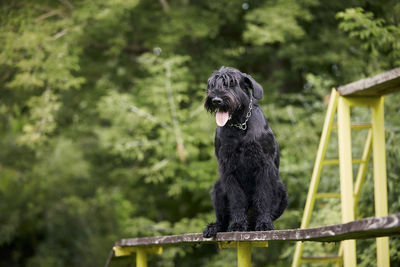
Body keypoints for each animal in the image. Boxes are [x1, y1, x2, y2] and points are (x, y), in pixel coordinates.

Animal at [203, 67, 288, 239]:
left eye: (231, 83)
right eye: (212, 84)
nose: (216, 100)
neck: (239, 126)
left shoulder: (264, 165)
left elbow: (263, 196)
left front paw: (264, 224)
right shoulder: (228, 168)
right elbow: (236, 199)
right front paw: (237, 225)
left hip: (282, 191)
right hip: (218, 188)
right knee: (222, 219)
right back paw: (214, 227)